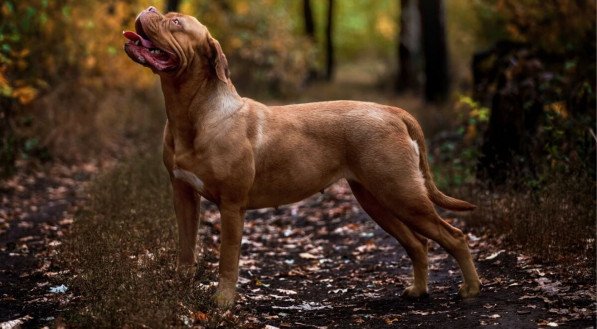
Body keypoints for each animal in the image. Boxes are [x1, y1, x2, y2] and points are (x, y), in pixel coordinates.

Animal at [124, 5, 480, 308]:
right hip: (376, 199)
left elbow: (227, 258)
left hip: (402, 193)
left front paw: (223, 301)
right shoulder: (183, 195)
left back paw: (471, 289)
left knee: (454, 236)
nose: (150, 8)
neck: (192, 113)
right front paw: (180, 290)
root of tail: (393, 111)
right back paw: (419, 290)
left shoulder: (231, 205)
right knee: (418, 243)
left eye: (175, 22)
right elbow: (186, 248)